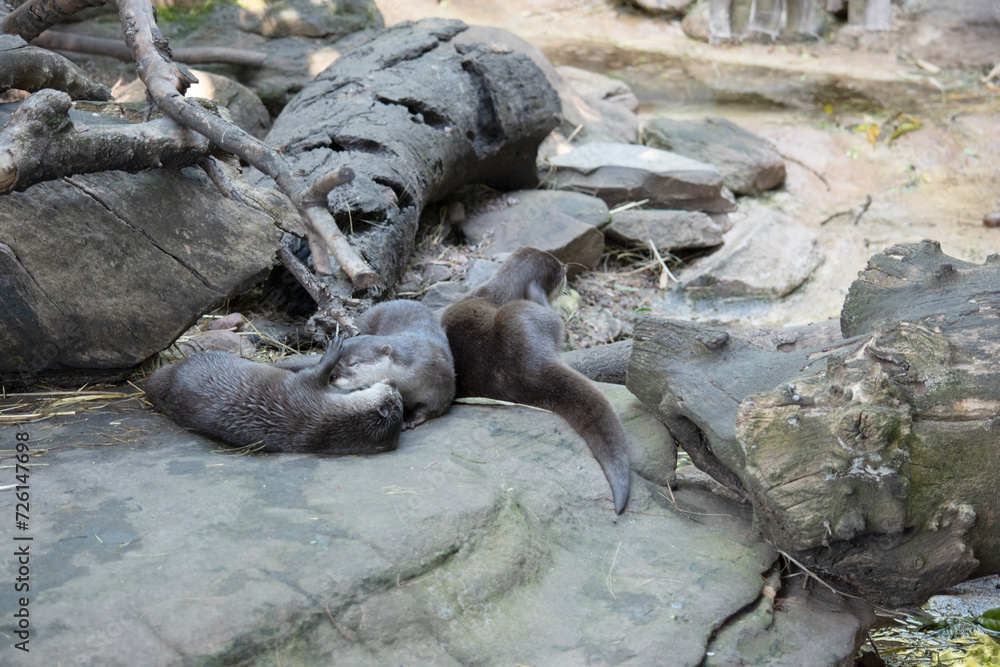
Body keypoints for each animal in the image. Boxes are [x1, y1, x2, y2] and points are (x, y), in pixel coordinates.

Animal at [441, 247, 631, 514]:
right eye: (561, 271)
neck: (496, 294)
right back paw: (538, 297)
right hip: (526, 316)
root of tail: (528, 366)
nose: (567, 268)